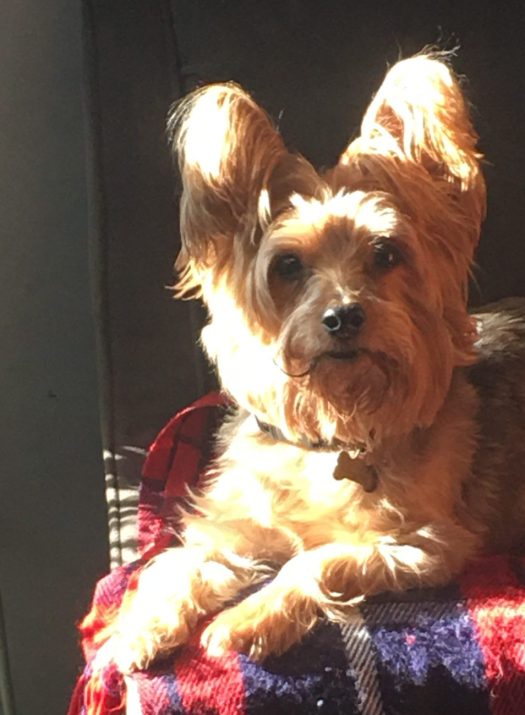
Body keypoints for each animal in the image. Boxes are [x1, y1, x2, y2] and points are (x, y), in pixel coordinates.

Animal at [102, 53, 525, 674]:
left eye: (386, 254)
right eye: (288, 266)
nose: (344, 315)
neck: (333, 431)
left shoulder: (426, 544)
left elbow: (318, 559)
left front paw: (250, 618)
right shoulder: (230, 528)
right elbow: (182, 564)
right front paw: (140, 626)